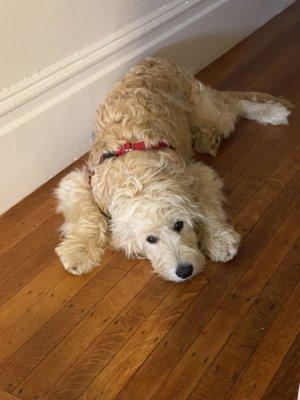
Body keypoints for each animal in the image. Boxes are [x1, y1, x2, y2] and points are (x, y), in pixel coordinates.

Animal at [55, 57, 292, 282]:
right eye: (151, 239)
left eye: (179, 225)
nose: (185, 271)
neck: (138, 178)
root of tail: (158, 60)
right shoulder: (81, 180)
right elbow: (86, 213)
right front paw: (78, 252)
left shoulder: (197, 174)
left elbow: (207, 208)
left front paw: (219, 240)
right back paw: (208, 137)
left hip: (207, 111)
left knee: (232, 105)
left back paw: (272, 112)